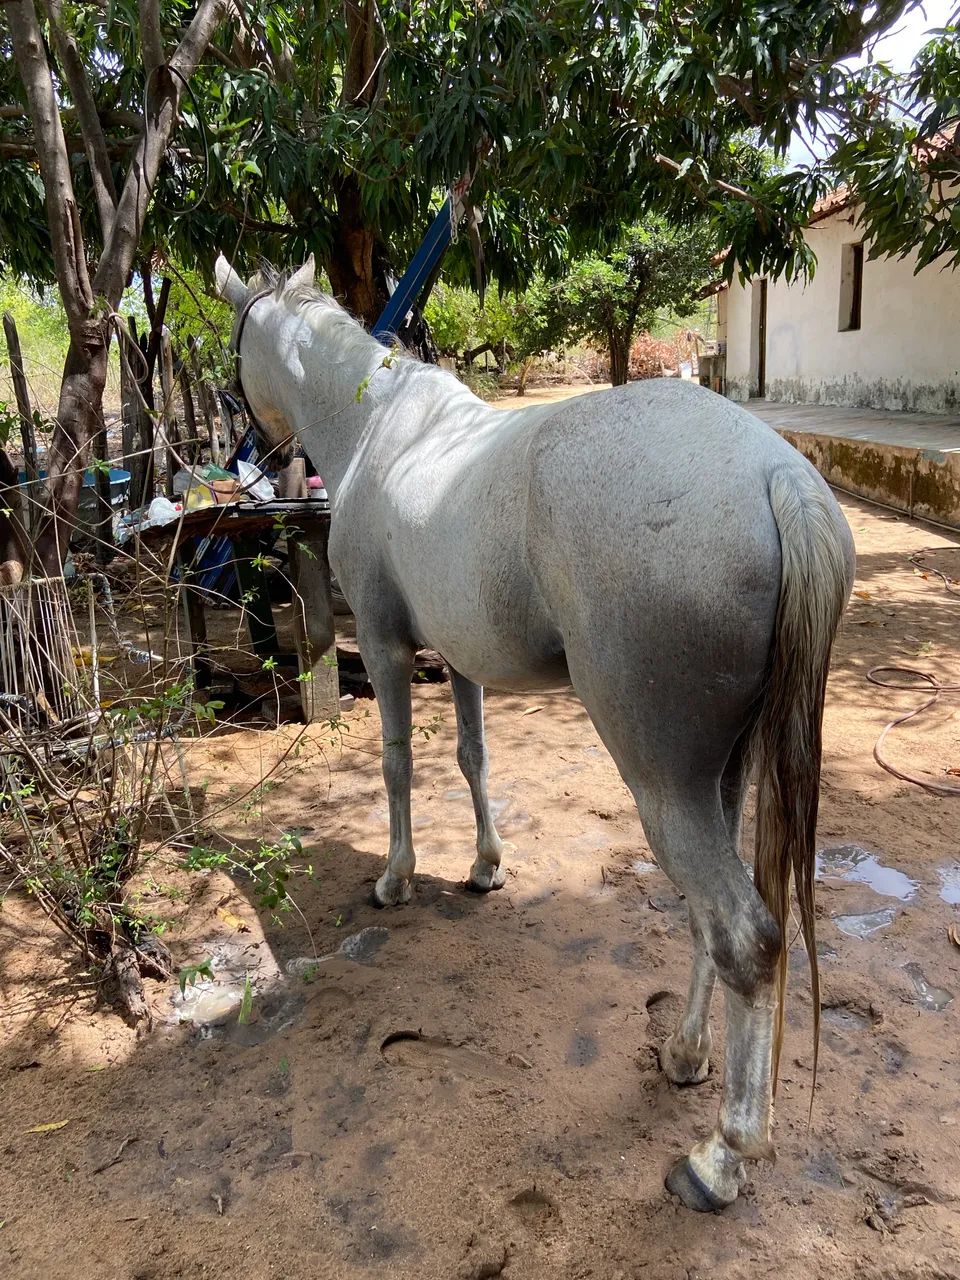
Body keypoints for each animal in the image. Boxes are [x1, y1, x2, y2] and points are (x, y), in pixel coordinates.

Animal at [215, 254, 855, 1213]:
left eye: (235, 354)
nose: (247, 455)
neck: (382, 430)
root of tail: (778, 478)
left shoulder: (387, 646)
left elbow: (397, 764)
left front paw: (396, 879)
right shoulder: (460, 658)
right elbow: (472, 757)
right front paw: (485, 867)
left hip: (663, 785)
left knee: (745, 936)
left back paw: (720, 1159)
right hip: (723, 775)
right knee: (716, 924)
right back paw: (686, 1056)